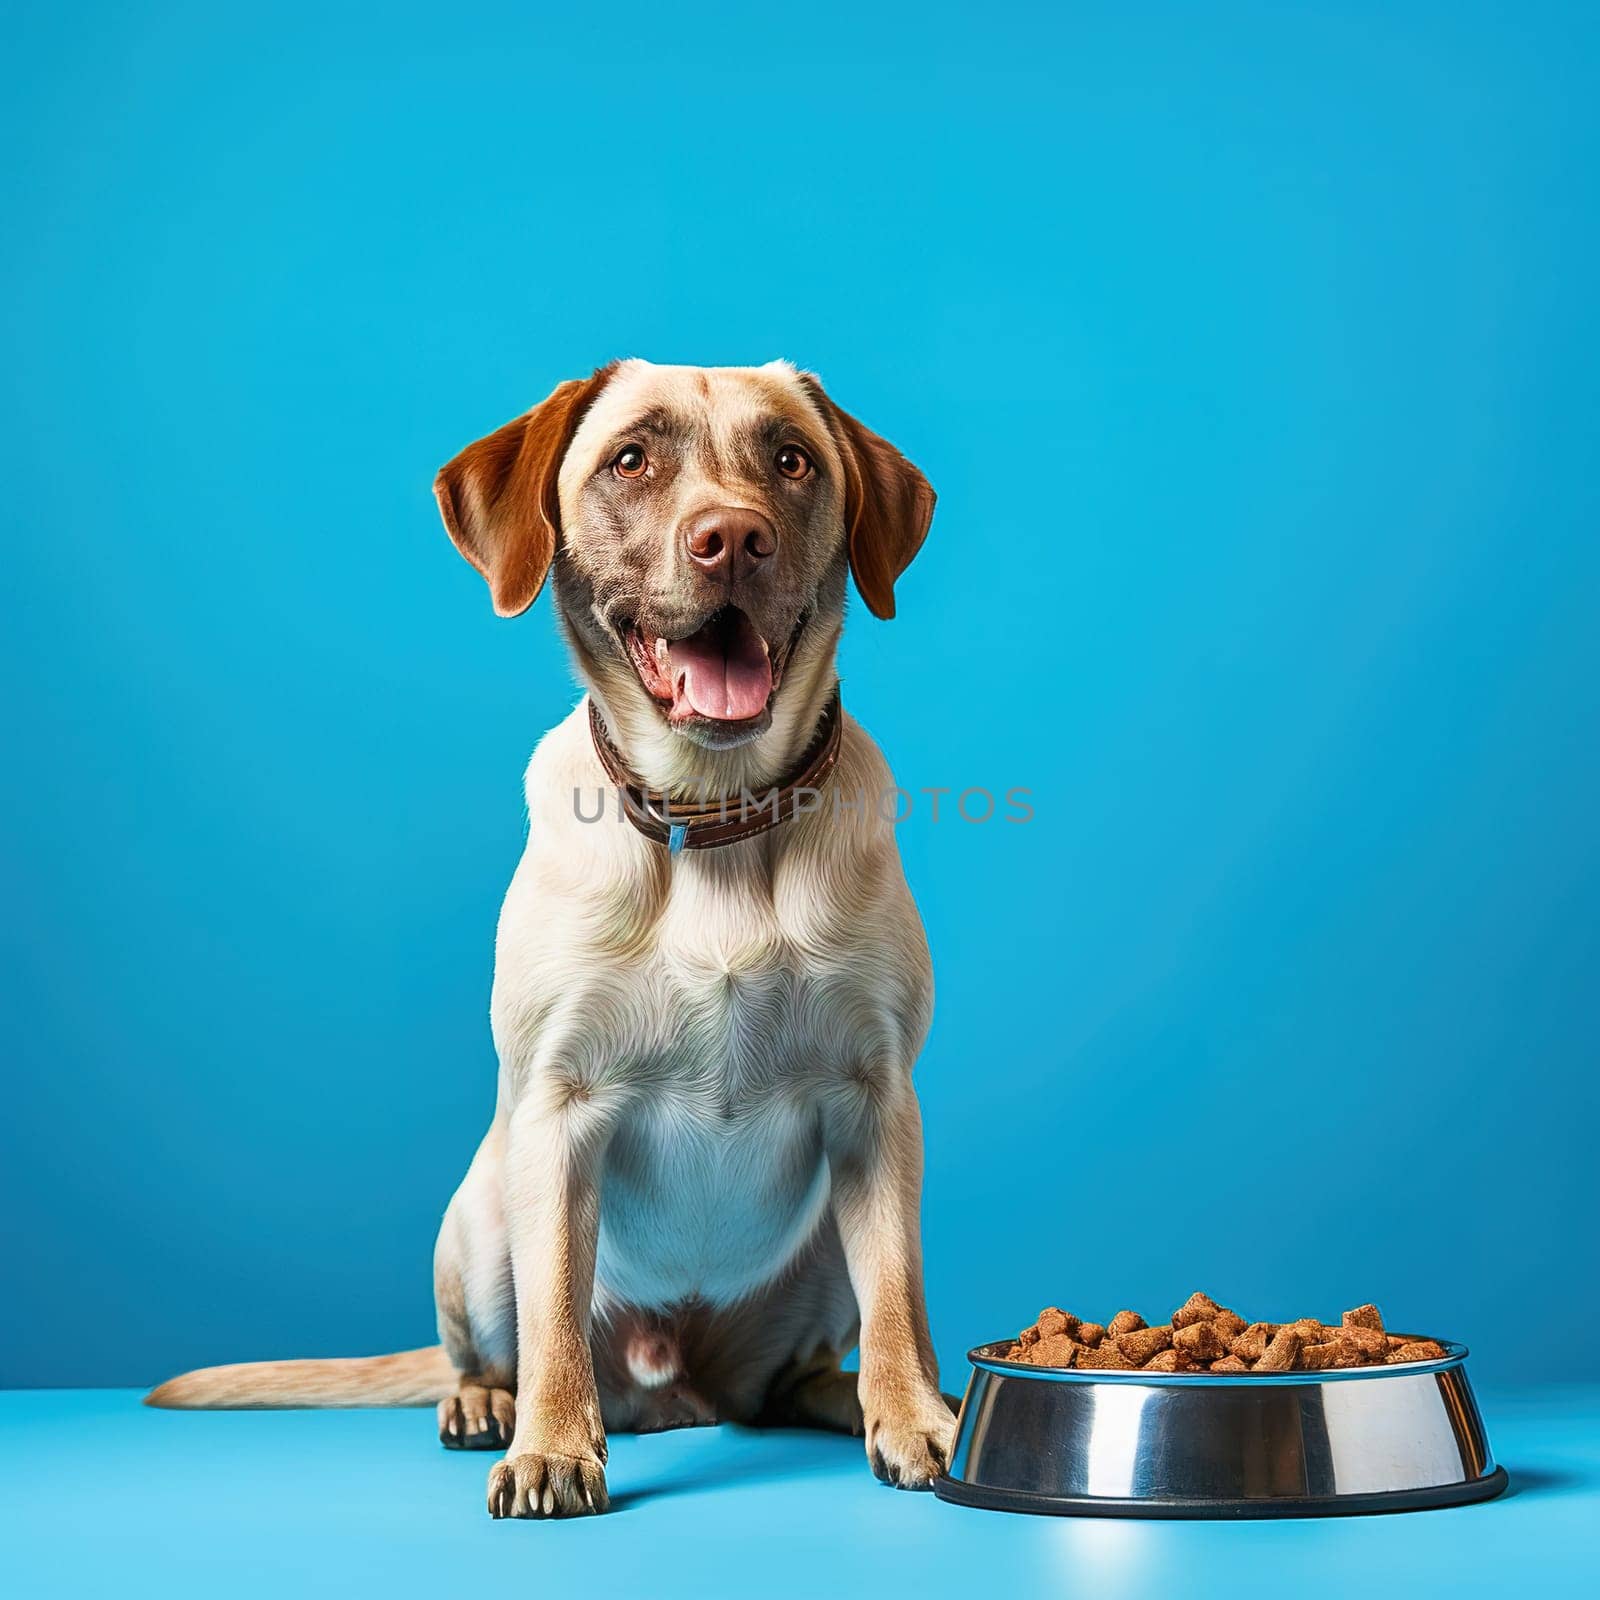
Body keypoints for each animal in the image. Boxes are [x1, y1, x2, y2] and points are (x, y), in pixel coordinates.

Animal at [150, 356, 947, 1516]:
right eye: (632, 459)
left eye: (792, 460)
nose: (734, 538)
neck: (710, 815)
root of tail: (676, 1386)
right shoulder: (561, 1112)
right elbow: (557, 1313)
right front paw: (553, 1445)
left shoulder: (876, 1101)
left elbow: (900, 1294)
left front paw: (915, 1413)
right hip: (481, 1213)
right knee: (501, 1344)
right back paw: (488, 1404)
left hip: (816, 1259)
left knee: (790, 1376)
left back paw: (842, 1396)